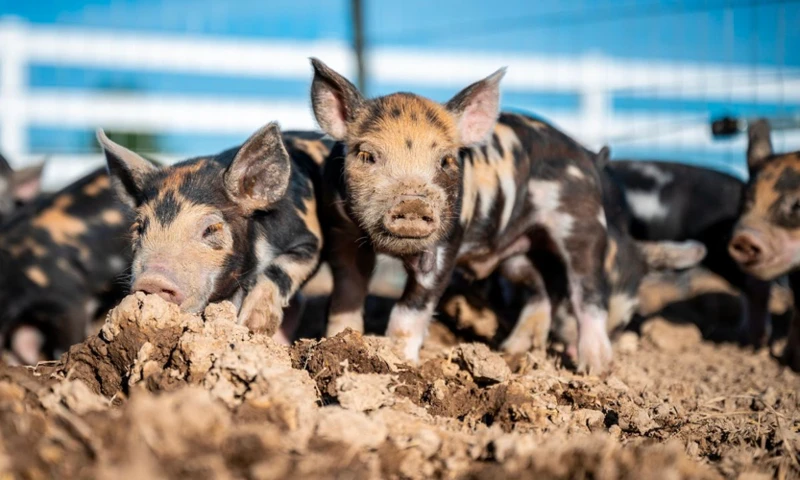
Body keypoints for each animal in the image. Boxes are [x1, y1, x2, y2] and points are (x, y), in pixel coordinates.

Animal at [97, 124, 332, 342]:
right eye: (139, 228)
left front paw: (253, 326)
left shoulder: (309, 240)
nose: (152, 281)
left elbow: (280, 270)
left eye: (210, 229)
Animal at [310, 57, 620, 372]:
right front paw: (338, 340)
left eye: (446, 160)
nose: (413, 204)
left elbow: (409, 311)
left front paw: (403, 361)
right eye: (366, 155)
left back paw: (594, 368)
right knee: (543, 289)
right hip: (518, 254)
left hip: (582, 224)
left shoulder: (446, 244)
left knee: (589, 292)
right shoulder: (343, 235)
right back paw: (511, 350)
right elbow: (347, 295)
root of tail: (586, 155)